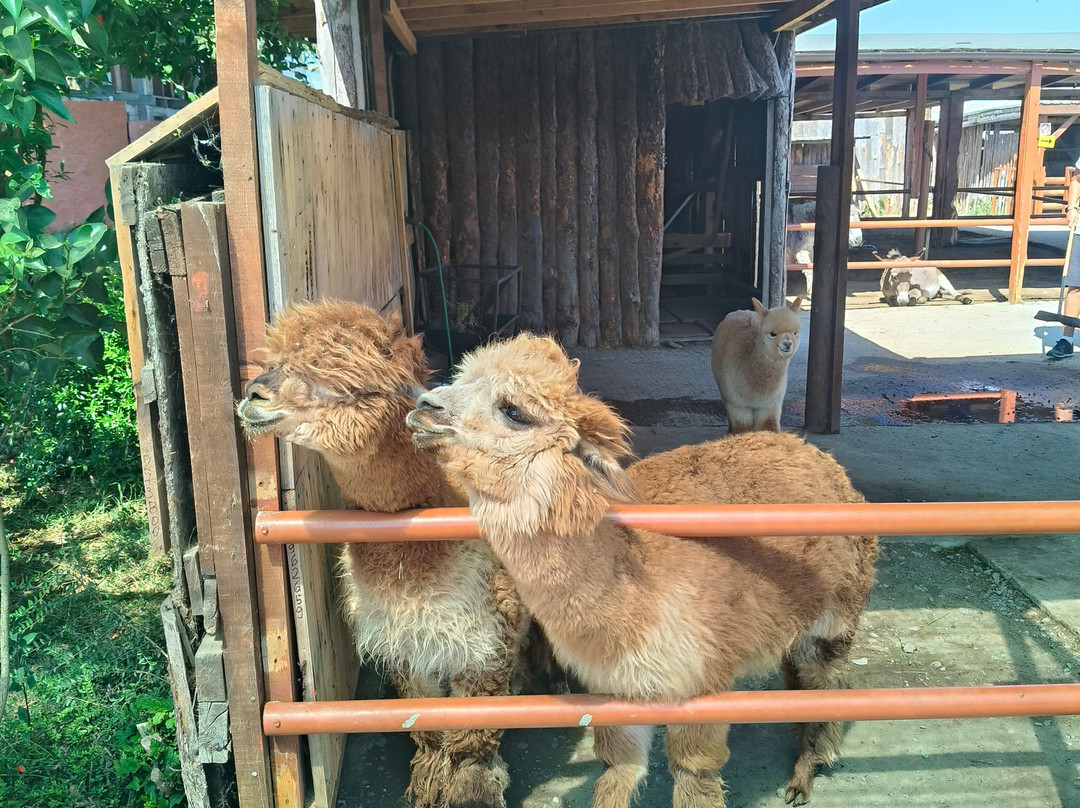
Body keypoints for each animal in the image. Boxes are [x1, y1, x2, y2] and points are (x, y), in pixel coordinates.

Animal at [235, 300, 527, 808]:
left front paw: (470, 788)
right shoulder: (404, 642)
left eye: (347, 380)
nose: (254, 395)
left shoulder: (486, 642)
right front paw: (429, 778)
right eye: (278, 362)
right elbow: (424, 715)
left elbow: (474, 733)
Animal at [407, 334, 878, 808]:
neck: (633, 593)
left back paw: (803, 777)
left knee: (826, 688)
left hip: (837, 619)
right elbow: (618, 770)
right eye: (458, 377)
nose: (423, 407)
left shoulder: (697, 683)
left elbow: (694, 777)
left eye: (514, 411)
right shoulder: (619, 687)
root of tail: (816, 453)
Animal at [710, 297, 803, 434]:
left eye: (795, 332)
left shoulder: (771, 405)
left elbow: (768, 428)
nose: (787, 344)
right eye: (772, 333)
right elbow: (742, 430)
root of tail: (742, 311)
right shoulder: (738, 406)